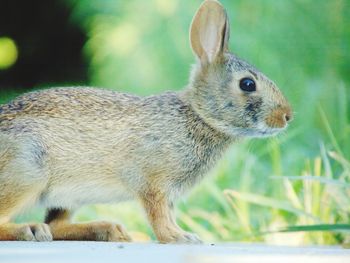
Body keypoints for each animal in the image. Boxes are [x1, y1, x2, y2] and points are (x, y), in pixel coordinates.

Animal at [0, 0, 292, 244]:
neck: (199, 116)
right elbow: (159, 215)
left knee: (58, 225)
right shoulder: (153, 183)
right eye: (247, 84)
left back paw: (111, 231)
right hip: (27, 172)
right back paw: (31, 230)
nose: (287, 116)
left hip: (66, 195)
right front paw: (179, 238)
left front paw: (182, 234)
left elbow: (167, 214)